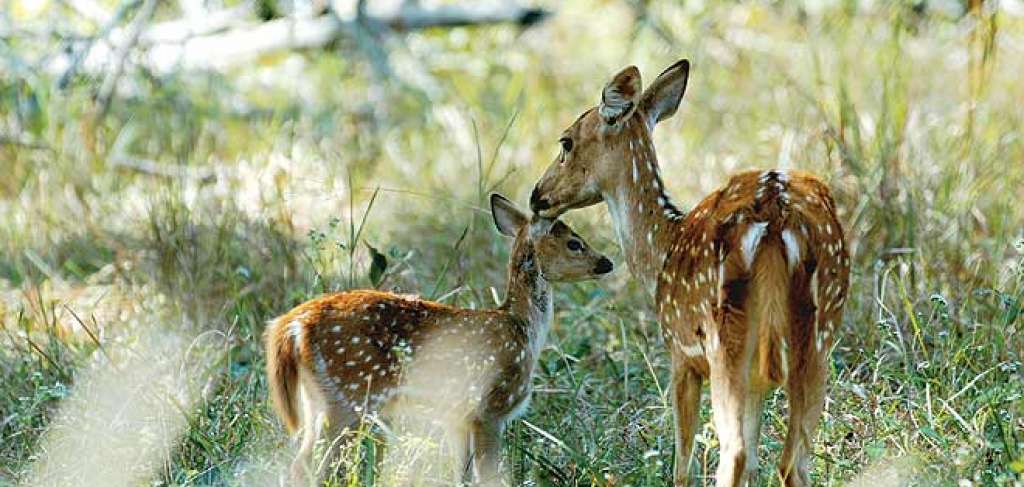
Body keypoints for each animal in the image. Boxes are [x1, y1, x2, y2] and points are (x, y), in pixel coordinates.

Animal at [268, 193, 610, 482]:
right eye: (574, 243)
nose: (606, 262)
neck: (523, 328)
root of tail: (293, 324)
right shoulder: (491, 407)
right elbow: (488, 476)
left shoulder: (457, 417)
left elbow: (461, 475)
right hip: (349, 395)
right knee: (313, 465)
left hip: (317, 399)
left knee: (299, 463)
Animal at [528, 59, 847, 484]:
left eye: (565, 142)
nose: (537, 195)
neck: (663, 248)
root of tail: (778, 218)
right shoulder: (757, 381)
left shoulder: (681, 353)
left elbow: (682, 463)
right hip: (819, 336)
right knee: (792, 461)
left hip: (725, 337)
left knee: (735, 452)